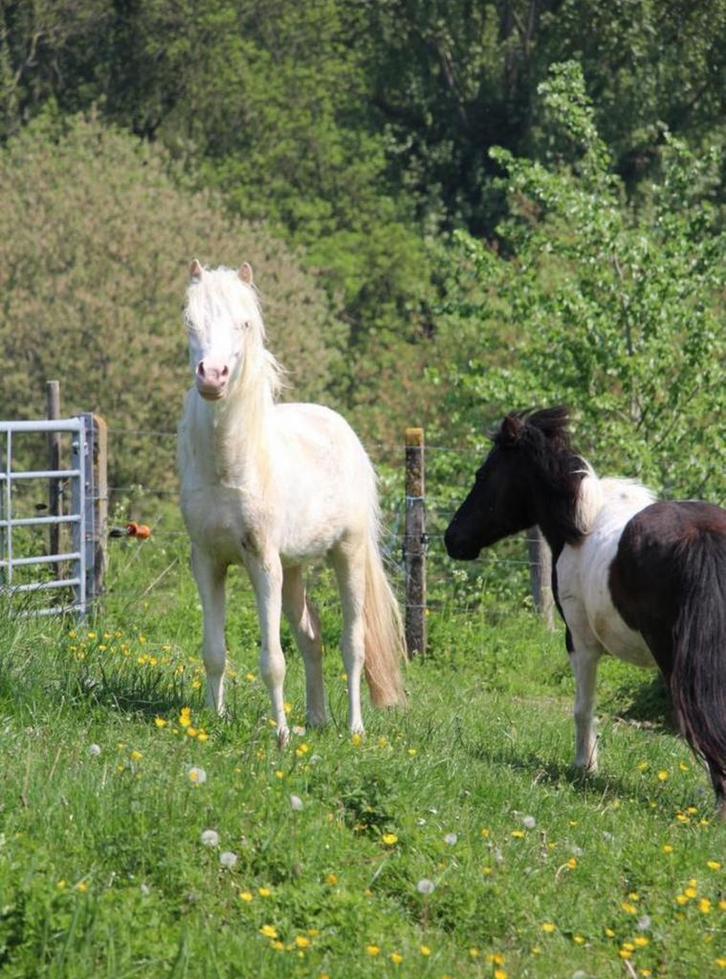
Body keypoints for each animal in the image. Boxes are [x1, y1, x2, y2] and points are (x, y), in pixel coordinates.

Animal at [177, 260, 406, 745]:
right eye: (190, 321)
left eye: (244, 323)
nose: (212, 376)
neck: (230, 469)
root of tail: (340, 428)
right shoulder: (207, 561)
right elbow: (214, 651)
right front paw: (213, 721)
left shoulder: (263, 562)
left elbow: (273, 661)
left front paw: (280, 735)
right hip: (295, 569)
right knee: (312, 638)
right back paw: (317, 720)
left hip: (347, 554)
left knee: (352, 646)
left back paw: (354, 728)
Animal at [444, 407, 726, 817]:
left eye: (484, 475)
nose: (452, 539)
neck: (581, 525)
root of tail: (703, 535)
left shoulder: (579, 641)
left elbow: (583, 708)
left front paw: (585, 766)